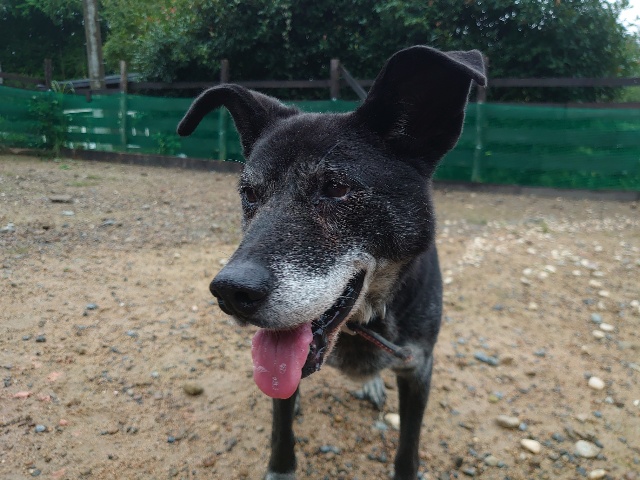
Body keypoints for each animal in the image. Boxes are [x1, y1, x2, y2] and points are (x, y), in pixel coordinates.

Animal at [177, 45, 486, 480]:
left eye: (336, 188)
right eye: (250, 193)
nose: (230, 292)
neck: (362, 324)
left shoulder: (418, 368)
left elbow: (408, 448)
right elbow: (281, 429)